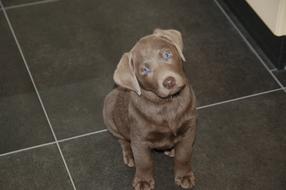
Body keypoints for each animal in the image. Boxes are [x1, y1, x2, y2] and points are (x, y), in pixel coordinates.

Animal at [103, 29, 197, 189]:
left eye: (167, 54)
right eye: (145, 70)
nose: (169, 82)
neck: (166, 104)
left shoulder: (189, 130)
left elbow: (184, 155)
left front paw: (184, 175)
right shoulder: (140, 139)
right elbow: (144, 162)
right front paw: (143, 181)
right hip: (109, 115)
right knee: (123, 140)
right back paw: (129, 155)